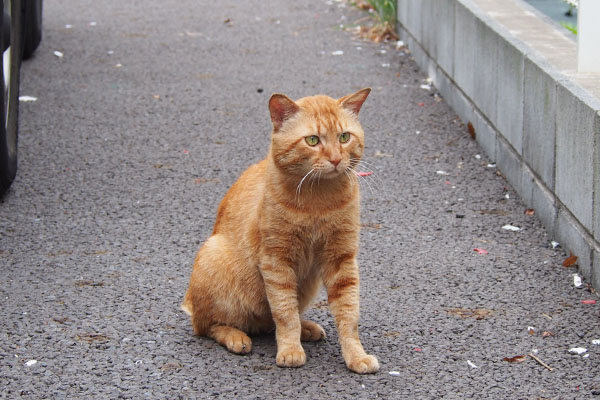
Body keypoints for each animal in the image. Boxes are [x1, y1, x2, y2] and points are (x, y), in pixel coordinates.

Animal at [183, 87, 378, 376]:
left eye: (344, 137)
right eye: (312, 140)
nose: (335, 159)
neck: (318, 200)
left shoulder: (341, 258)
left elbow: (348, 313)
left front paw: (356, 355)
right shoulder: (277, 260)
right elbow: (285, 313)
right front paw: (290, 350)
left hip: (307, 283)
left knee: (268, 322)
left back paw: (306, 327)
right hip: (213, 256)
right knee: (208, 325)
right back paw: (236, 337)